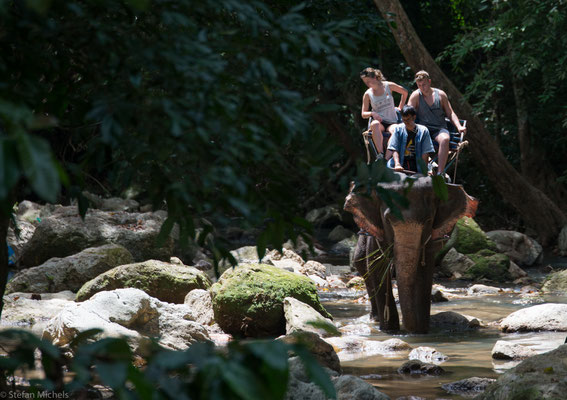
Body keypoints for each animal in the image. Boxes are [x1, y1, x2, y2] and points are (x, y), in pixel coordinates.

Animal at [344, 173, 478, 332]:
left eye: (428, 220)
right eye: (388, 220)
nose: (408, 328)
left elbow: (424, 270)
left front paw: (420, 331)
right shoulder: (376, 229)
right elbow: (377, 265)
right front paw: (390, 329)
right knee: (360, 262)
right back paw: (375, 318)